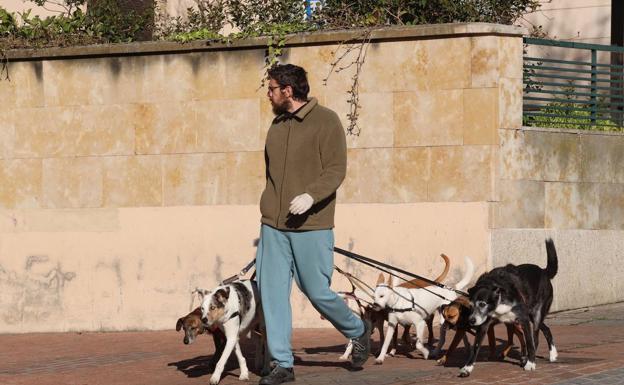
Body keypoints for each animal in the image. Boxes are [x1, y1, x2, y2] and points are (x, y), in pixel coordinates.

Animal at [460, 237, 560, 376]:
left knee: (536, 338)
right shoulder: (484, 324)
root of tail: (544, 272)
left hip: (536, 315)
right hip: (531, 315)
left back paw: (533, 359)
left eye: (482, 304)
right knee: (546, 329)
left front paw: (531, 363)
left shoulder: (523, 319)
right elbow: (475, 347)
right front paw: (467, 367)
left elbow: (529, 342)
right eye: (471, 305)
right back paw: (551, 355)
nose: (471, 320)